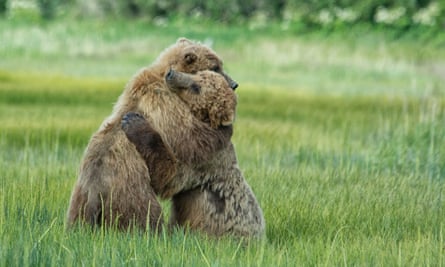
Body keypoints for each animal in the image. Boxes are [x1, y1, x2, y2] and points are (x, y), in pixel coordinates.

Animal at [65, 38, 236, 232]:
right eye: (215, 67)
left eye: (220, 64)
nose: (234, 84)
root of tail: (95, 192)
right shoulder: (161, 97)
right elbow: (188, 135)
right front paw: (223, 131)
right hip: (131, 191)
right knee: (145, 214)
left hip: (79, 201)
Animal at [121, 70, 266, 240]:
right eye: (198, 74)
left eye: (196, 87)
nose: (171, 73)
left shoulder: (202, 157)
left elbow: (170, 176)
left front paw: (132, 121)